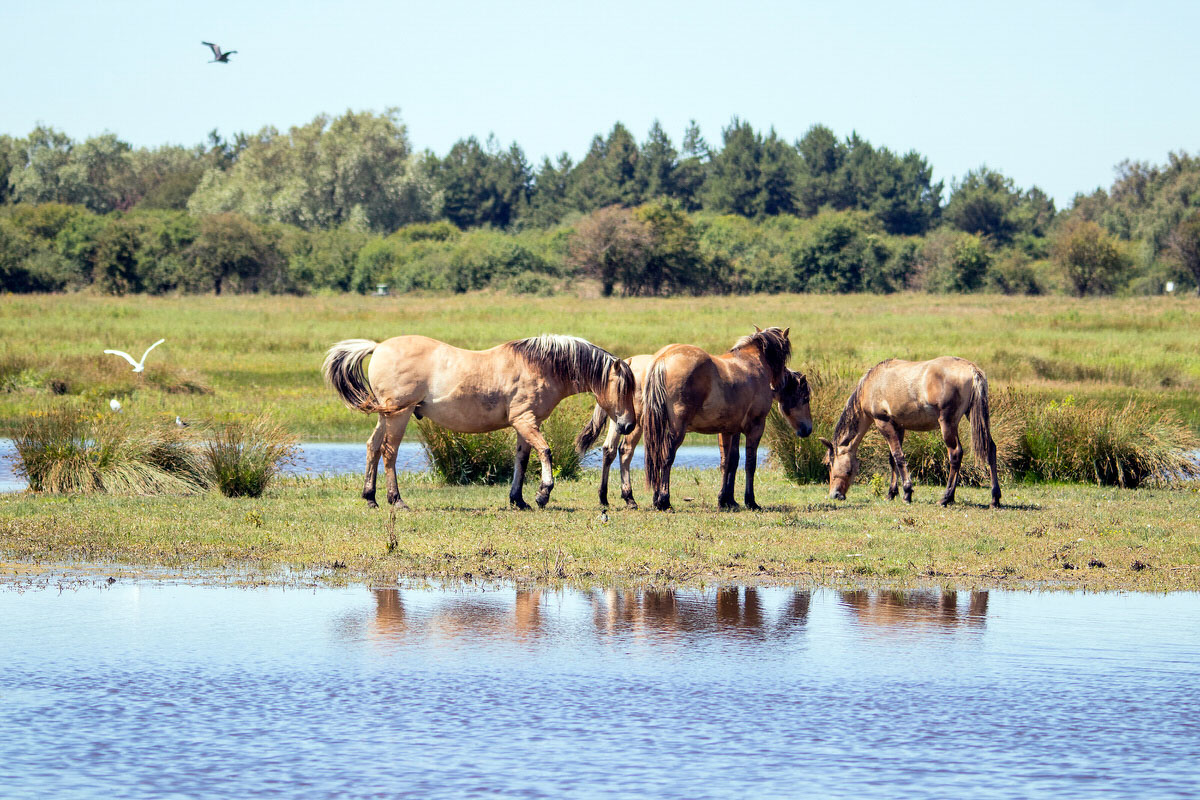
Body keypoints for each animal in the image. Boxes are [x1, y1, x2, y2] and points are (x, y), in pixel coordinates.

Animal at [319, 335, 638, 510]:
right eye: (623, 388)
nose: (629, 426)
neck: (539, 365)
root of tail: (378, 347)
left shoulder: (523, 425)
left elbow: (522, 460)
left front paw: (518, 499)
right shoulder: (526, 422)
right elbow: (546, 452)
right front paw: (543, 494)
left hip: (386, 415)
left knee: (373, 448)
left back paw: (370, 497)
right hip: (400, 414)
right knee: (389, 452)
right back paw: (395, 499)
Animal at [638, 326, 816, 510]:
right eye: (805, 398)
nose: (807, 429)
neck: (754, 362)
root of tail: (663, 358)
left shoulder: (730, 430)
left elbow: (730, 462)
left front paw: (727, 499)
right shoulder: (756, 427)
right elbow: (750, 464)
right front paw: (750, 501)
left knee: (656, 457)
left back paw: (656, 498)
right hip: (677, 429)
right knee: (667, 457)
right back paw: (664, 500)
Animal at [820, 357, 998, 506]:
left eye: (829, 464)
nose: (834, 495)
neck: (871, 385)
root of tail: (972, 369)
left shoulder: (883, 423)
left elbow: (899, 457)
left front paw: (907, 493)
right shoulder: (898, 426)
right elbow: (892, 459)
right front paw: (891, 493)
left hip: (947, 423)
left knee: (955, 454)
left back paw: (946, 498)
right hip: (973, 417)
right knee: (990, 448)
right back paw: (994, 499)